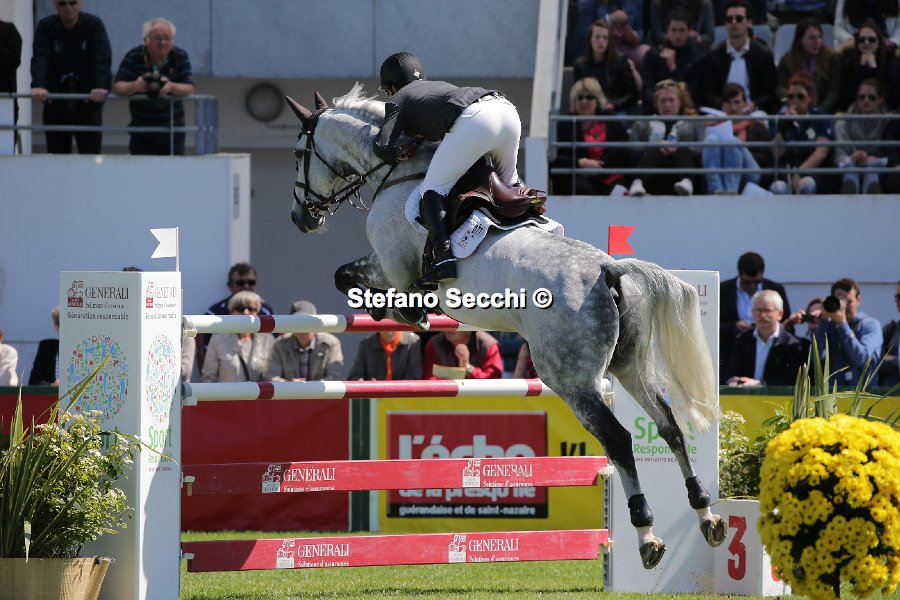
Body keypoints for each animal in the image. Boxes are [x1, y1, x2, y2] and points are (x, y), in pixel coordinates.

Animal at [285, 84, 726, 568]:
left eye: (298, 153)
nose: (301, 218)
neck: (395, 171)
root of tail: (609, 267)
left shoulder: (392, 266)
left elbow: (349, 276)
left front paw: (400, 313)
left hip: (572, 379)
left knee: (619, 439)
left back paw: (647, 535)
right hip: (630, 366)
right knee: (669, 426)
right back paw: (706, 515)